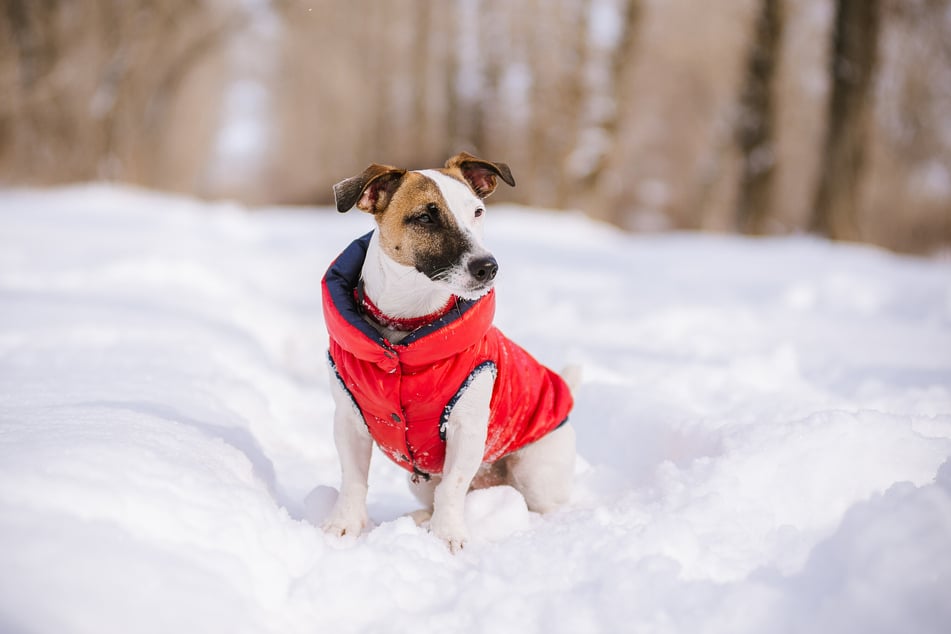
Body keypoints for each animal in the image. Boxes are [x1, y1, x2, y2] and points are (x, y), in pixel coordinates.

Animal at [320, 152, 576, 548]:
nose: (488, 267)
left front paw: (447, 536)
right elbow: (353, 479)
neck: (407, 326)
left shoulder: (466, 429)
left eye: (478, 211)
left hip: (535, 471)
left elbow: (453, 487)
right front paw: (344, 526)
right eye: (425, 217)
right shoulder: (349, 421)